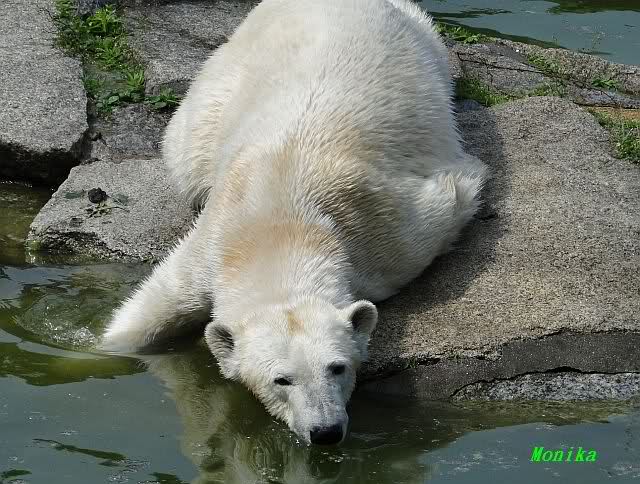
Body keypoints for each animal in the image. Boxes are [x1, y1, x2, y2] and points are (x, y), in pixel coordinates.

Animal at [100, 0, 487, 445]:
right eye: (281, 380)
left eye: (338, 367)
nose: (325, 431)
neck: (280, 227)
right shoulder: (212, 240)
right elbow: (155, 305)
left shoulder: (398, 232)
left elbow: (459, 191)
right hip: (218, 84)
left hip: (420, 37)